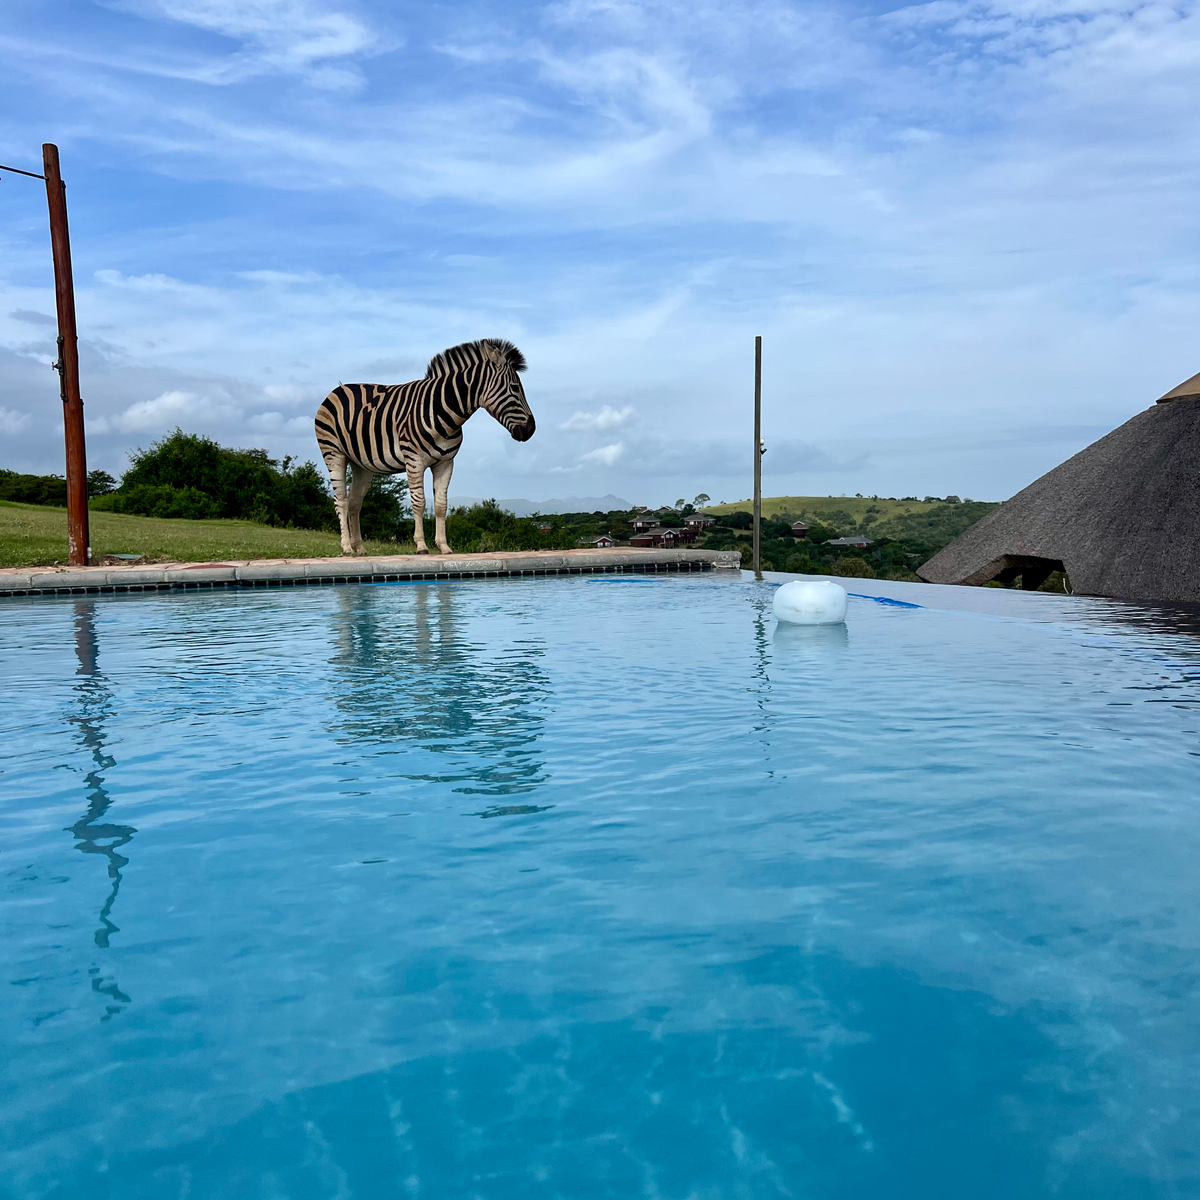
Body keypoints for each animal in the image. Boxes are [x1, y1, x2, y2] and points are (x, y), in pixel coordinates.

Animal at [314, 338, 535, 556]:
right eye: (515, 387)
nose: (531, 430)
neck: (443, 410)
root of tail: (338, 389)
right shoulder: (414, 460)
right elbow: (419, 502)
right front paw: (421, 546)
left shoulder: (445, 462)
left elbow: (441, 505)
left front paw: (444, 547)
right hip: (334, 453)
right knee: (341, 500)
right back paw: (346, 547)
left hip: (361, 464)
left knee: (355, 502)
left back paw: (359, 548)